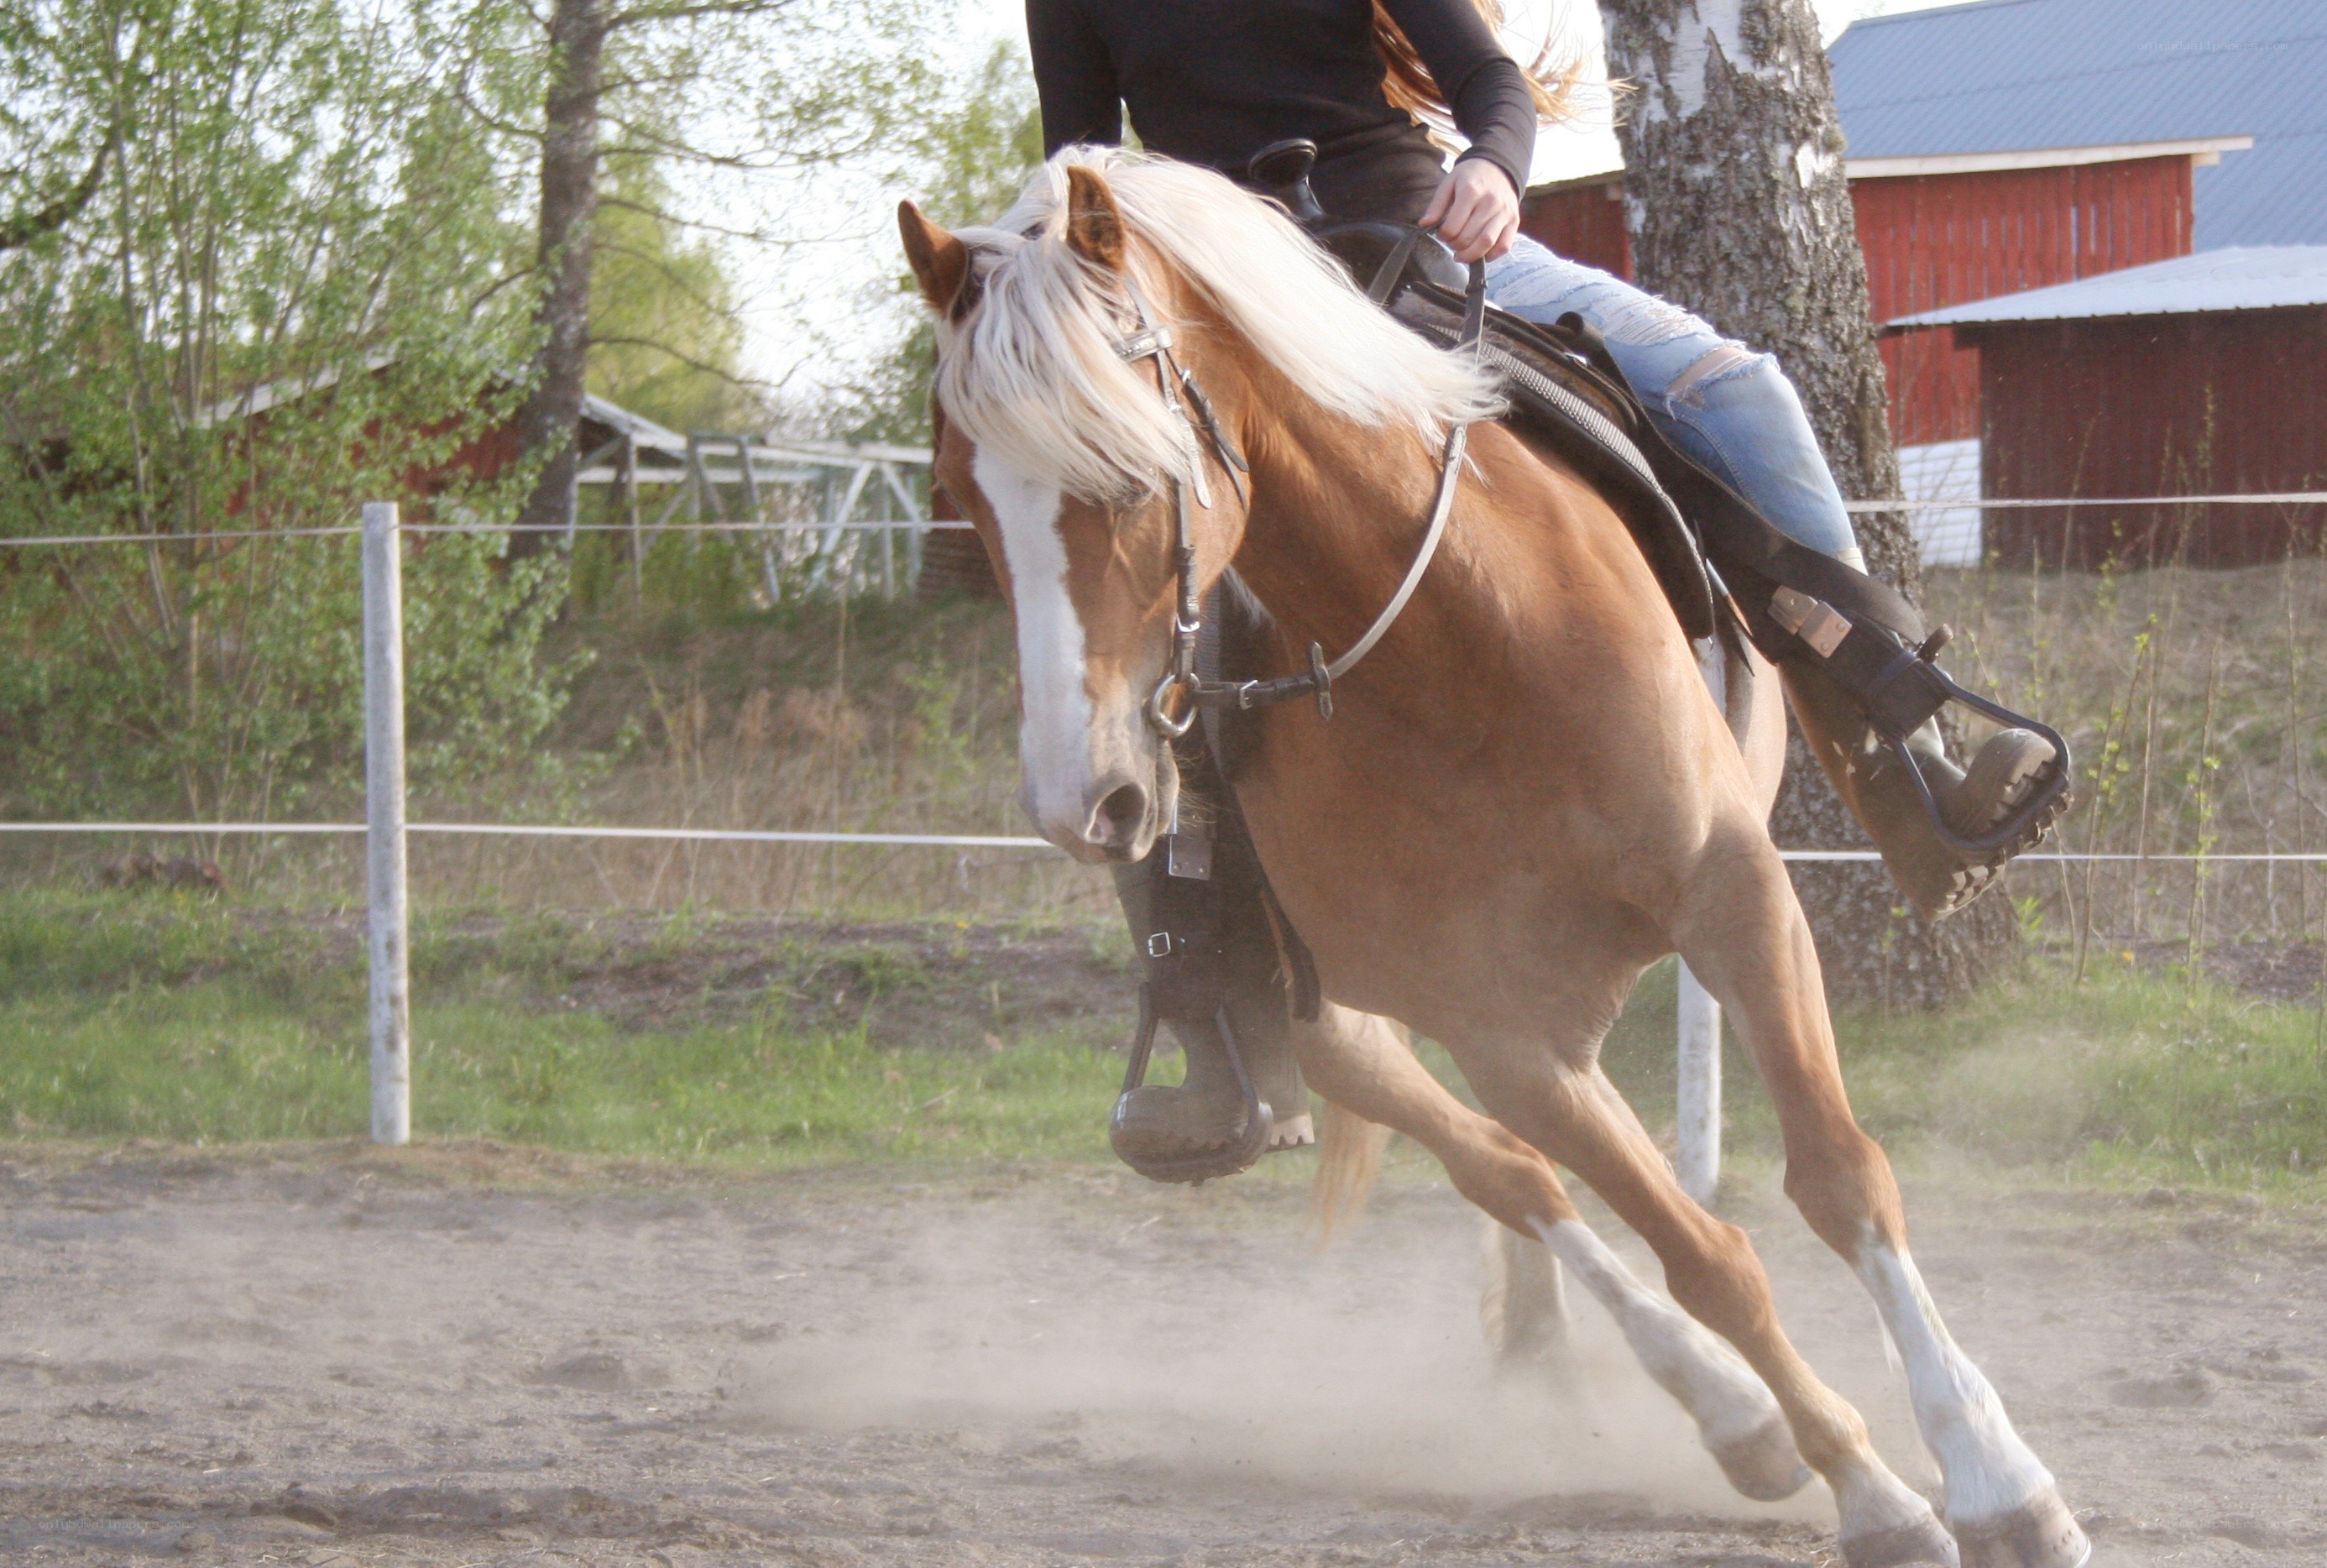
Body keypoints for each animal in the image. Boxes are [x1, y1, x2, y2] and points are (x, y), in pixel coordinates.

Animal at [897, 146, 2088, 1568]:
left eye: (1131, 473)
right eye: (964, 493)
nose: (1087, 799)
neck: (1453, 634)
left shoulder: (1733, 898)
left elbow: (1841, 1180)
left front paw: (1997, 1478)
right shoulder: (1491, 1025)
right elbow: (1702, 1255)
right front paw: (1871, 1489)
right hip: (1361, 1028)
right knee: (1513, 1176)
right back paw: (1728, 1413)